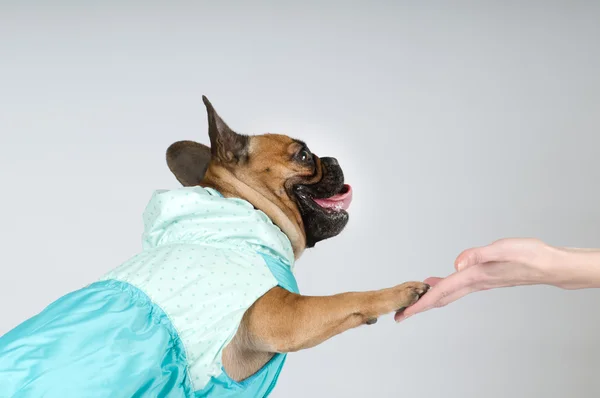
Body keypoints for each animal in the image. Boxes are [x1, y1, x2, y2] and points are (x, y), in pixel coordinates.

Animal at [0, 97, 432, 398]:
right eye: (304, 155)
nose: (335, 159)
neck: (245, 211)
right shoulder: (284, 317)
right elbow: (345, 298)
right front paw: (397, 293)